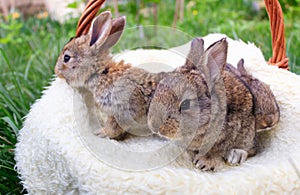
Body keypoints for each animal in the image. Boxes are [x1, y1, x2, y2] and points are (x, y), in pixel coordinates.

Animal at [148, 37, 255, 171]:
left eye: (186, 104)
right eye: (158, 88)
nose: (154, 125)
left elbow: (215, 151)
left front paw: (204, 162)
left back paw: (236, 155)